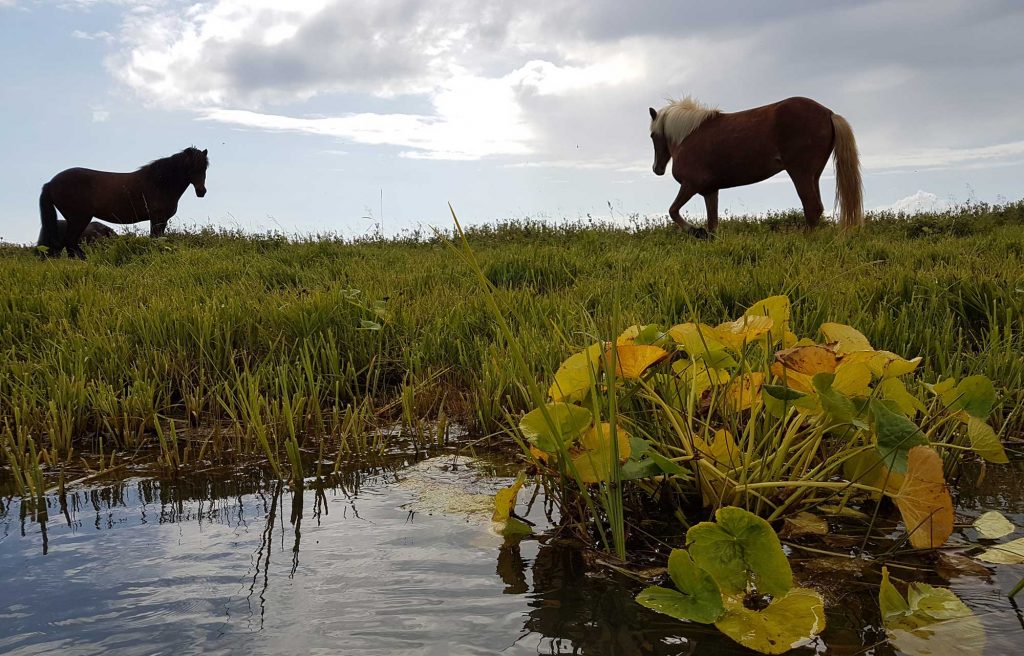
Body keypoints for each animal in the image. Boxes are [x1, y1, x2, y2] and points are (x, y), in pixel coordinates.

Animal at [38, 147, 208, 258]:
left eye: (205, 168)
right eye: (191, 167)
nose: (201, 191)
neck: (159, 183)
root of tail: (50, 184)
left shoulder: (160, 220)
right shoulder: (157, 218)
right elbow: (155, 239)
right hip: (78, 219)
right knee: (70, 243)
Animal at [648, 96, 863, 238]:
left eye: (652, 135)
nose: (657, 169)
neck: (688, 136)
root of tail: (828, 113)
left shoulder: (690, 185)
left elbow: (673, 210)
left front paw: (695, 230)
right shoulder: (710, 191)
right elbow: (712, 223)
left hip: (800, 172)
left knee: (812, 207)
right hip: (813, 175)